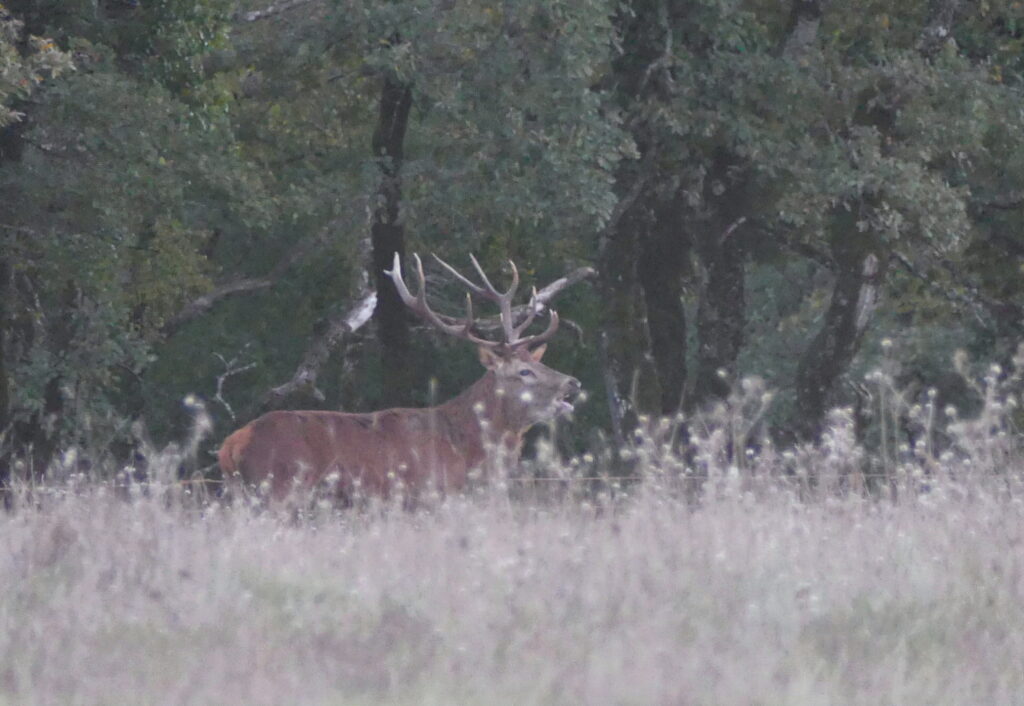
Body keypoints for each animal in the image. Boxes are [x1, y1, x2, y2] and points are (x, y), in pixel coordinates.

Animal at [218, 253, 583, 503]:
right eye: (524, 371)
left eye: (536, 363)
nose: (573, 383)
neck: (467, 451)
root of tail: (230, 447)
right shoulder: (428, 498)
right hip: (278, 492)